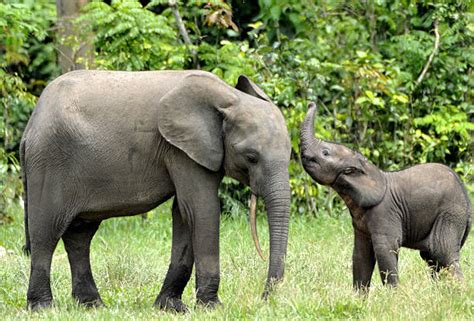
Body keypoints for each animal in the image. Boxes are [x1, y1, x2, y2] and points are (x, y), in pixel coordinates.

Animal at [21, 69, 292, 310]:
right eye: (251, 157)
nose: (264, 298)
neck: (228, 97)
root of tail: (31, 125)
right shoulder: (180, 149)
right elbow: (201, 208)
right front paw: (213, 307)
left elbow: (184, 213)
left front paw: (171, 307)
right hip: (49, 160)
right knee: (46, 231)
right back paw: (43, 307)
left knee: (80, 235)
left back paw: (93, 305)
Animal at [300, 102, 470, 288]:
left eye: (325, 153)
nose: (311, 103)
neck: (367, 167)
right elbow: (361, 255)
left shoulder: (384, 212)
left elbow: (384, 249)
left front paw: (394, 294)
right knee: (432, 258)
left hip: (450, 214)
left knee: (442, 253)